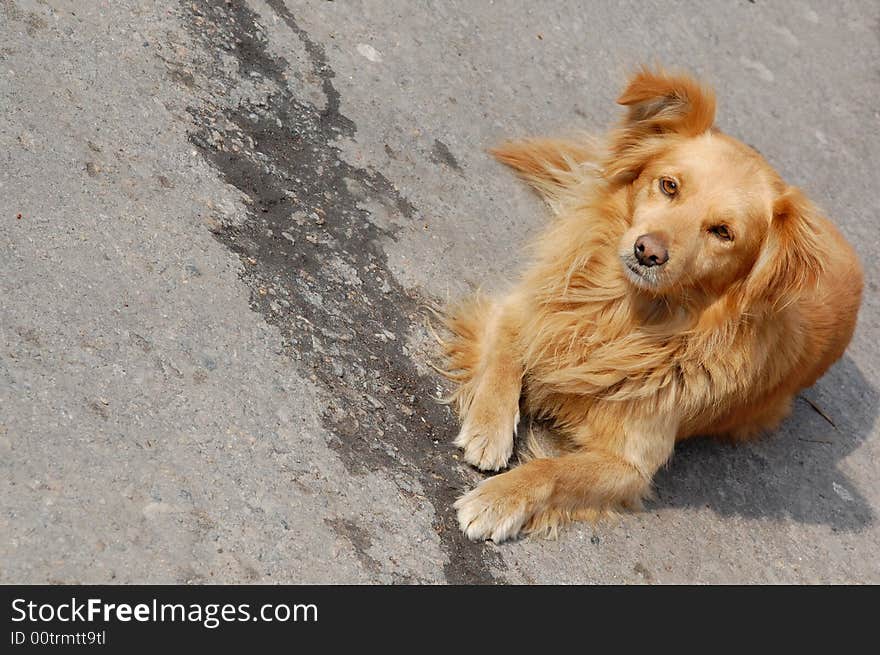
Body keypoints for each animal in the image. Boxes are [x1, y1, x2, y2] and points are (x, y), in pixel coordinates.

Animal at [436, 66, 864, 544]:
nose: (648, 252)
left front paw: (498, 499)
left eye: (723, 232)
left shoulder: (631, 465)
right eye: (669, 186)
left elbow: (551, 472)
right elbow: (504, 358)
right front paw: (489, 428)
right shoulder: (524, 309)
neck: (620, 314)